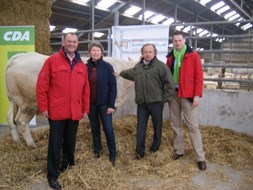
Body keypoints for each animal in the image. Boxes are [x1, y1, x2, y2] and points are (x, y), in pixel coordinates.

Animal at [4, 52, 135, 147]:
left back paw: (17, 142)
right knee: (21, 121)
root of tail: (17, 57)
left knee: (10, 118)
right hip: (29, 104)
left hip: (13, 100)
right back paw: (32, 145)